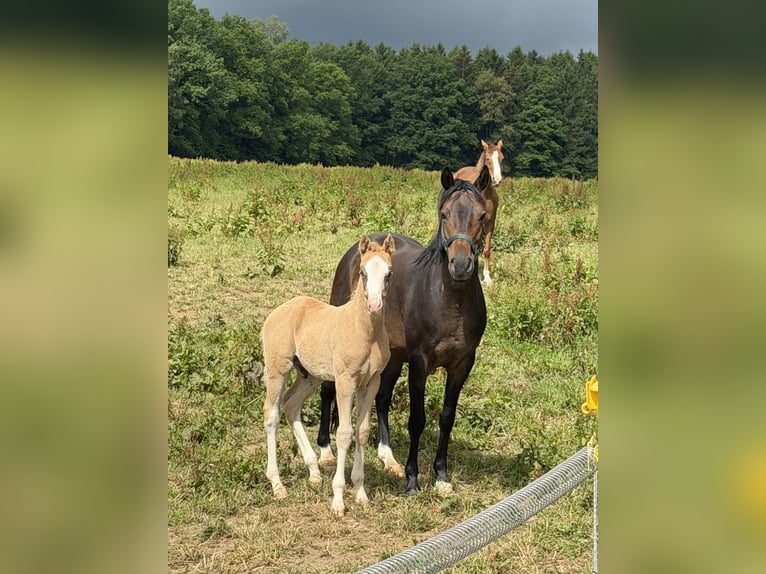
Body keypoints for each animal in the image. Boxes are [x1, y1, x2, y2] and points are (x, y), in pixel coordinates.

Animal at [261, 234, 396, 517]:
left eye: (388, 273)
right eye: (363, 272)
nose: (374, 304)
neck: (364, 331)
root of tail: (276, 312)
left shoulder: (372, 382)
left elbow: (362, 432)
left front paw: (361, 493)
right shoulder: (346, 381)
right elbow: (344, 433)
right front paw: (338, 499)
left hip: (309, 376)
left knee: (291, 405)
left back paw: (313, 472)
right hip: (278, 369)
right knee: (272, 414)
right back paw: (277, 485)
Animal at [317, 166, 490, 494]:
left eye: (482, 215)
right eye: (444, 214)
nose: (461, 265)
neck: (450, 300)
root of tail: (358, 248)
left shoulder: (463, 363)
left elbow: (446, 417)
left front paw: (441, 476)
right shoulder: (420, 362)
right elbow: (417, 419)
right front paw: (413, 479)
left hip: (394, 355)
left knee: (382, 398)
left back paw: (388, 458)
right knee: (328, 389)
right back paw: (325, 452)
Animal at [455, 139, 504, 286]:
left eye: (502, 158)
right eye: (487, 158)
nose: (497, 180)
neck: (485, 194)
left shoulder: (490, 223)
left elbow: (486, 250)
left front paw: (487, 278)